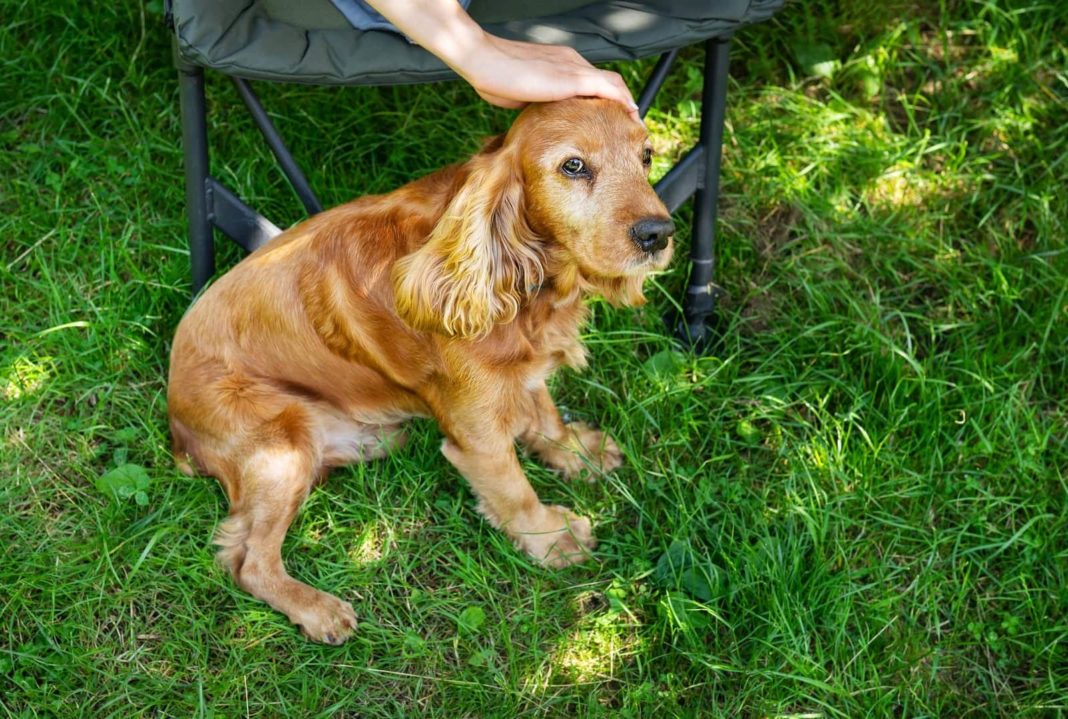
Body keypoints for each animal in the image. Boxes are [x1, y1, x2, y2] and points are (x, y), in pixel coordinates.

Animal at [166, 98, 670, 641]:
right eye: (573, 166)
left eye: (646, 156)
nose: (659, 234)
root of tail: (175, 420)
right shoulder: (477, 434)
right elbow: (514, 490)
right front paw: (552, 537)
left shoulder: (522, 374)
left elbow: (546, 415)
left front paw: (580, 452)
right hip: (281, 448)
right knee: (249, 562)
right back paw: (319, 610)